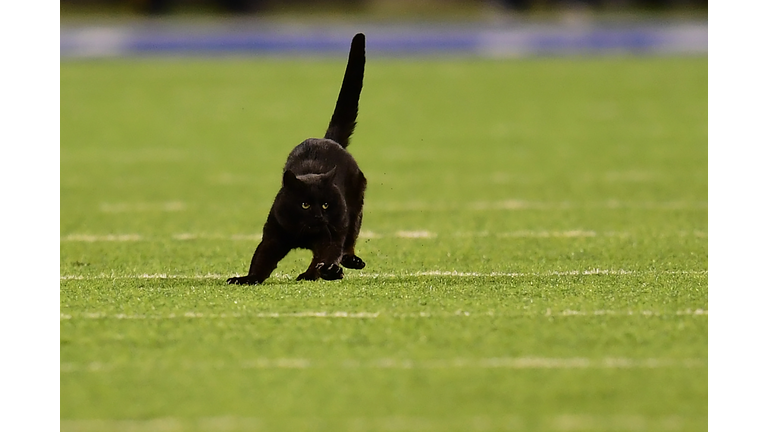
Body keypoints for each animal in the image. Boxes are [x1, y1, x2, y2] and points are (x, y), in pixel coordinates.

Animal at [228, 33, 368, 284]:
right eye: (304, 204)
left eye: (325, 204)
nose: (318, 215)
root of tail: (328, 139)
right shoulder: (273, 235)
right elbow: (261, 260)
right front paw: (247, 279)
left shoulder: (330, 235)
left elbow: (326, 254)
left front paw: (324, 272)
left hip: (354, 208)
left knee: (348, 240)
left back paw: (344, 264)